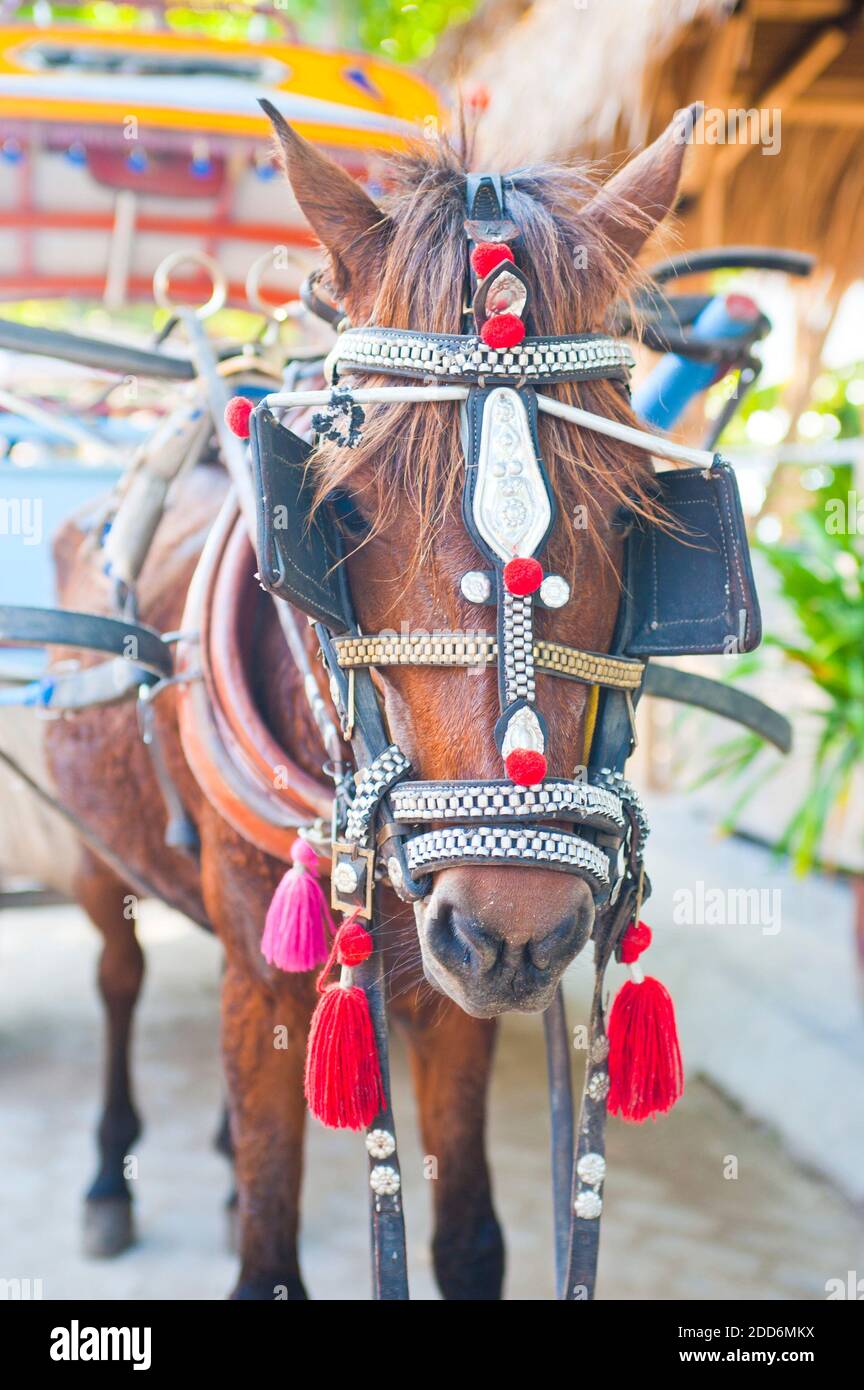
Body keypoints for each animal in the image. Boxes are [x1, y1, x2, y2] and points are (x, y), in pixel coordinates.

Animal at [45, 111, 691, 1301]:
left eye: (632, 515)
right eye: (341, 510)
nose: (517, 928)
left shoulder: (453, 995)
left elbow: (471, 1242)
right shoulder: (274, 964)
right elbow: (269, 1252)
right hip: (98, 850)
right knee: (120, 973)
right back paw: (112, 1175)